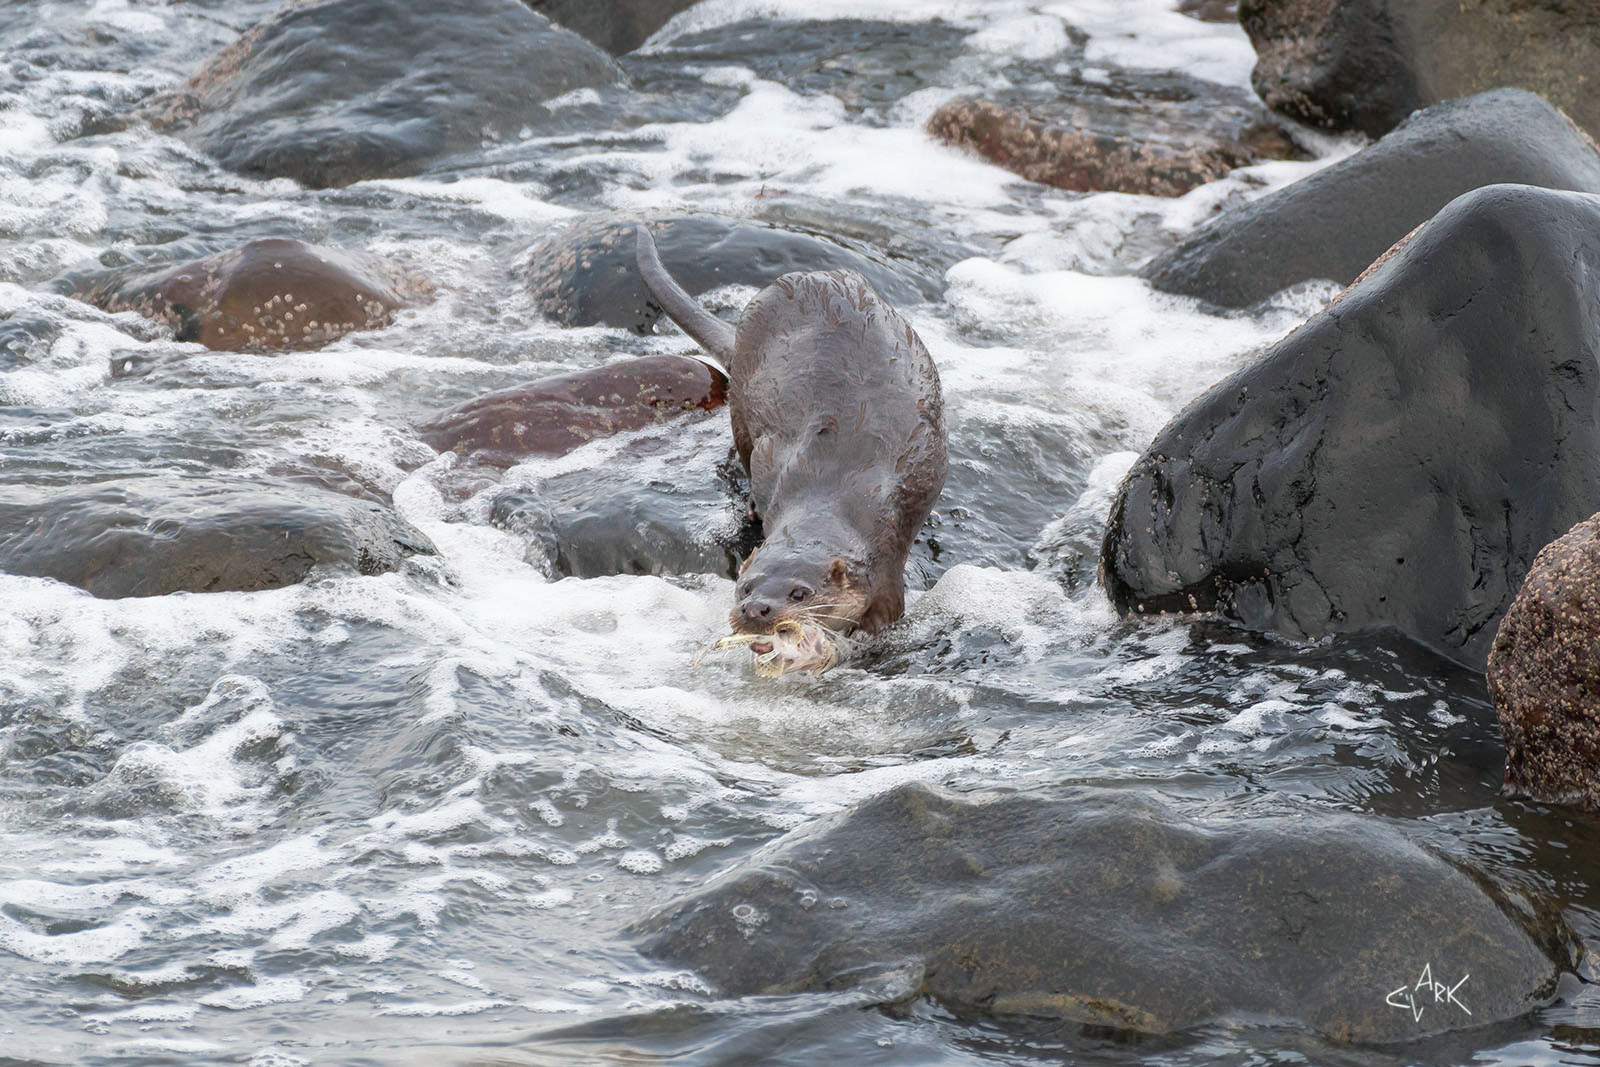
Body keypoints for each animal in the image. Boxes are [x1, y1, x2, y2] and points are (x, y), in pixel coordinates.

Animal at [636, 224, 946, 673]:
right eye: (745, 588)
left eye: (800, 593)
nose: (756, 609)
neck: (831, 495)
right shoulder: (772, 459)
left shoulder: (887, 566)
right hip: (742, 402)